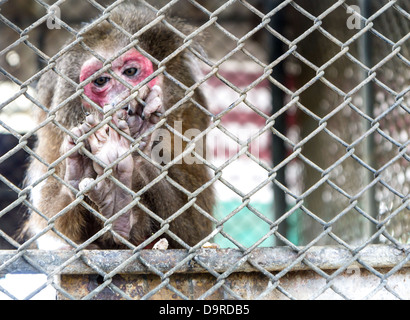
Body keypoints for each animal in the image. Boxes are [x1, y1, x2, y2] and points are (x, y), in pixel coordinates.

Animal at [24, 1, 215, 250]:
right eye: (101, 81)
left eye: (130, 72)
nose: (123, 103)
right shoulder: (54, 130)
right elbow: (54, 233)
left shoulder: (191, 114)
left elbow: (195, 234)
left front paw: (141, 145)